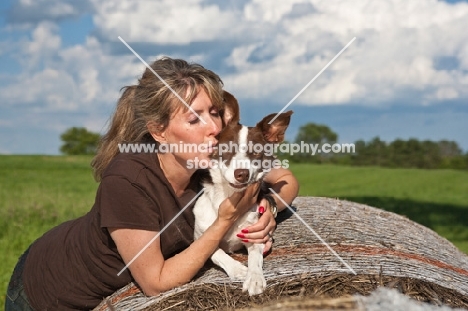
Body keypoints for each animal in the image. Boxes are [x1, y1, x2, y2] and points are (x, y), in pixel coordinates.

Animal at [192, 91, 290, 296]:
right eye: (227, 148)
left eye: (256, 153)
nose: (242, 173)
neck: (229, 198)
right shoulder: (198, 239)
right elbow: (217, 253)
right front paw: (238, 269)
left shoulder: (256, 238)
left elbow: (255, 259)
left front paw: (254, 278)